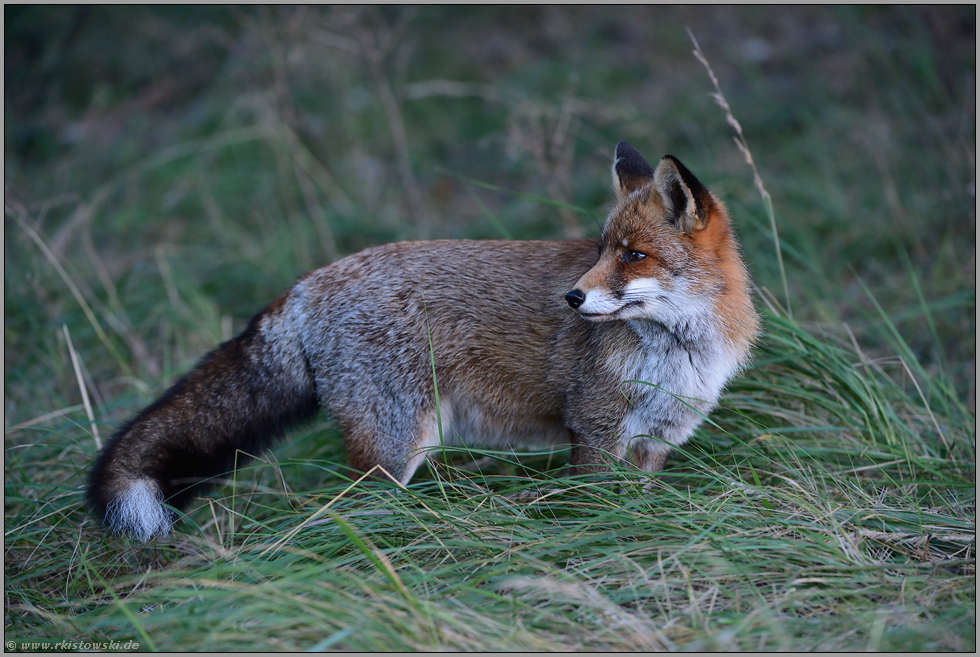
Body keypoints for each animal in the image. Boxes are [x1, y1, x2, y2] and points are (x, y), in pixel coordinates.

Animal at [88, 142, 760, 540]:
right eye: (600, 251)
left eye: (634, 255)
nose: (571, 298)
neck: (677, 351)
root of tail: (306, 284)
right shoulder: (595, 431)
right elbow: (598, 510)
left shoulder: (653, 442)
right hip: (396, 447)